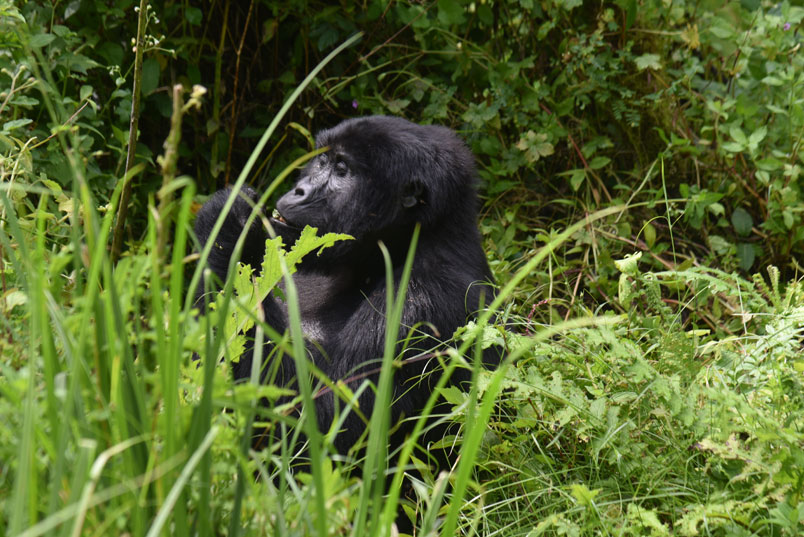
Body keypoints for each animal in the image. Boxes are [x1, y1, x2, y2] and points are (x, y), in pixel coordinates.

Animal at [196, 115, 496, 458]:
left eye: (342, 170)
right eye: (323, 160)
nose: (299, 190)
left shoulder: (421, 302)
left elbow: (321, 428)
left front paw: (227, 227)